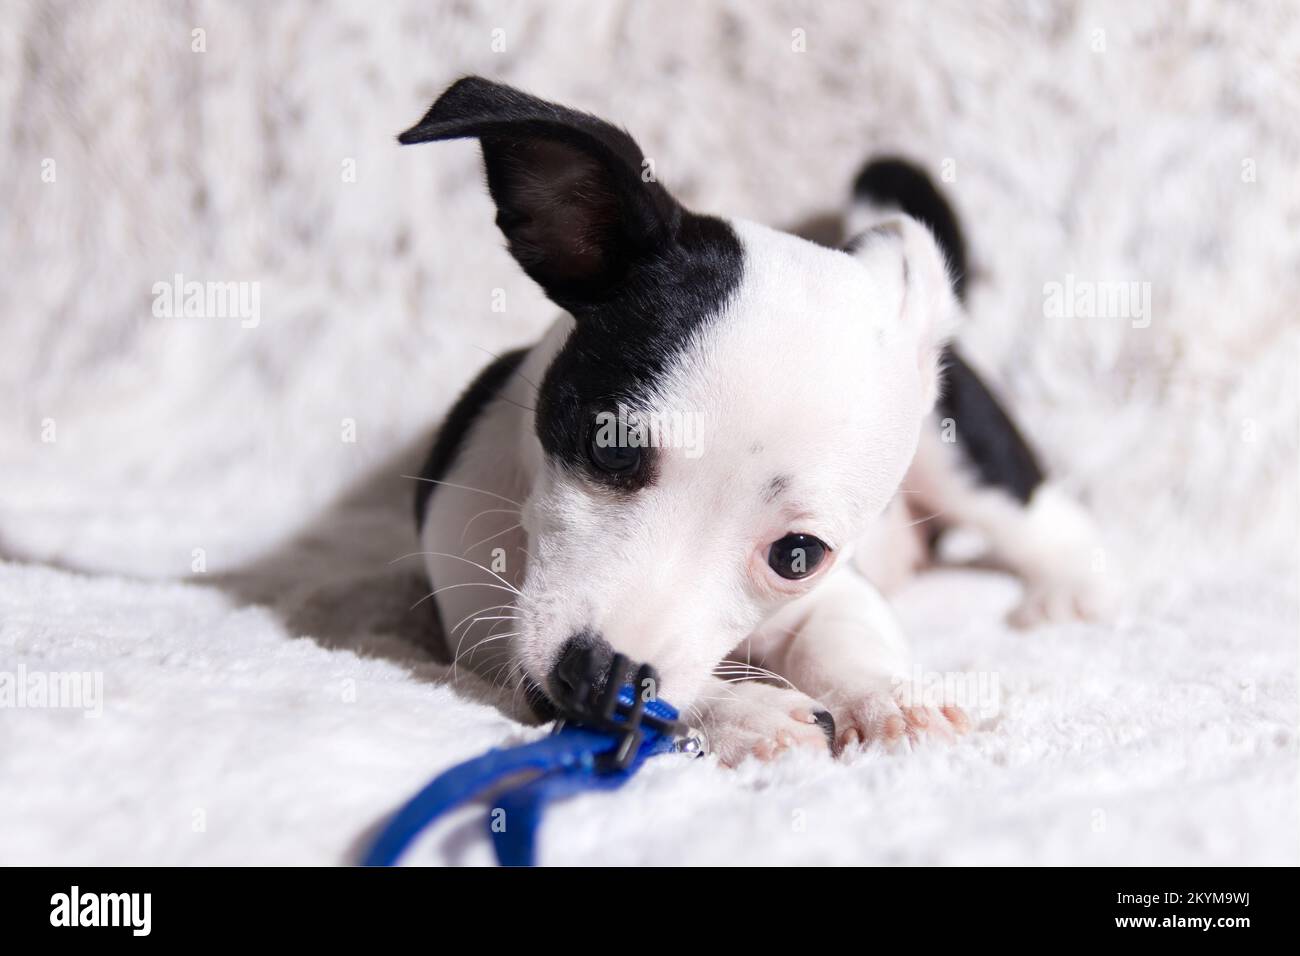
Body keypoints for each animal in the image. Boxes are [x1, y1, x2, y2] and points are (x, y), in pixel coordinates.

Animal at [397, 74, 1107, 764]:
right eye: (611, 449)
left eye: (797, 556)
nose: (603, 678)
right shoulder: (499, 638)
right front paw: (741, 709)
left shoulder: (834, 590)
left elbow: (842, 636)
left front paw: (885, 696)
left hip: (956, 445)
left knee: (1032, 512)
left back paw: (1076, 581)